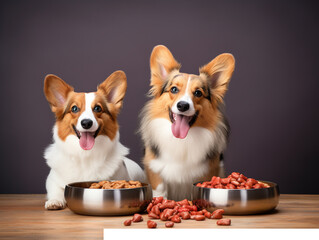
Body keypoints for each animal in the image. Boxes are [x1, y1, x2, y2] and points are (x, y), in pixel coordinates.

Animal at [43, 70, 146, 209]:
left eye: (97, 108)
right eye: (74, 108)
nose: (86, 123)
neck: (86, 154)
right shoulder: (52, 180)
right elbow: (56, 190)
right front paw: (54, 201)